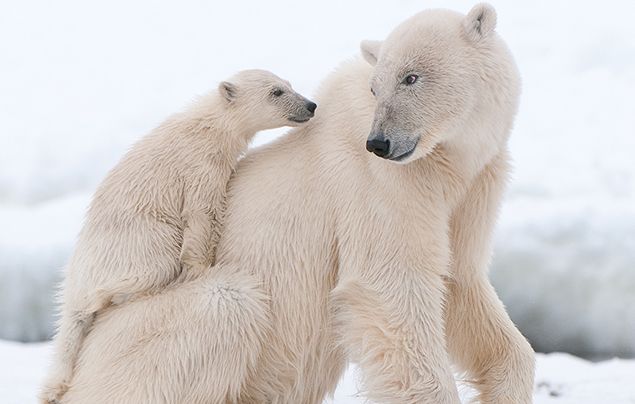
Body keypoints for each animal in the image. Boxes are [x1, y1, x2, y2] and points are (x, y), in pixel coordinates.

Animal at [60, 3, 536, 404]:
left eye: (411, 77)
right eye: (375, 86)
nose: (379, 143)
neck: (446, 159)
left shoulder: (472, 186)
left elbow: (461, 284)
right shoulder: (379, 185)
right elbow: (390, 286)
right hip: (147, 330)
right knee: (226, 304)